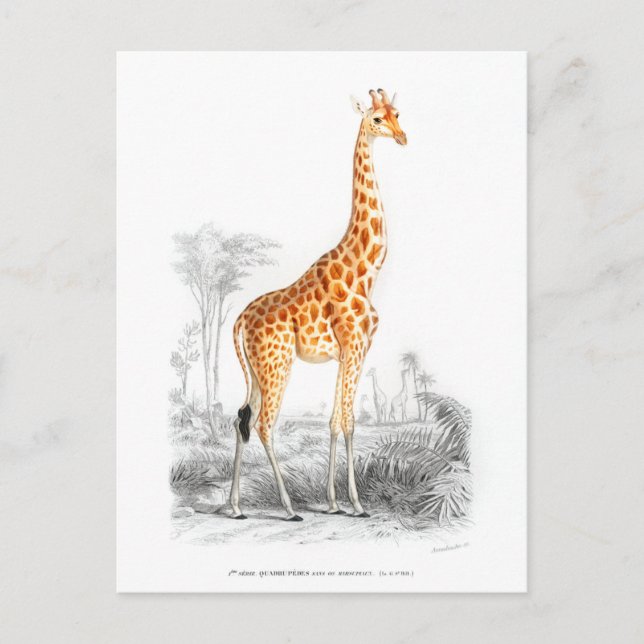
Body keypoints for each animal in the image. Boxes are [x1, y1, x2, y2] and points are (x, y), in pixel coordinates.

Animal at [230, 88, 406, 520]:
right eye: (376, 119)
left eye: (398, 114)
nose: (402, 137)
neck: (366, 269)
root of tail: (239, 320)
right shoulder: (356, 347)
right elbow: (349, 421)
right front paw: (357, 504)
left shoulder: (347, 353)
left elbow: (334, 420)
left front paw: (334, 502)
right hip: (277, 365)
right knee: (263, 424)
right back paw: (290, 508)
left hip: (257, 371)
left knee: (241, 418)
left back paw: (235, 507)